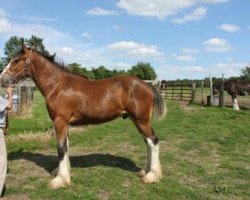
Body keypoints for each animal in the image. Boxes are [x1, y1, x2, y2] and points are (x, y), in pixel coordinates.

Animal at [0, 42, 167, 189]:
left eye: (16, 60)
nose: (2, 79)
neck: (57, 85)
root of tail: (147, 86)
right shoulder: (65, 123)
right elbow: (66, 147)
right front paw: (64, 174)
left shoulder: (60, 121)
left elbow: (61, 148)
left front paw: (60, 180)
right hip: (138, 121)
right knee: (148, 143)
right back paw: (146, 171)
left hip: (141, 120)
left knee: (153, 142)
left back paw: (151, 176)